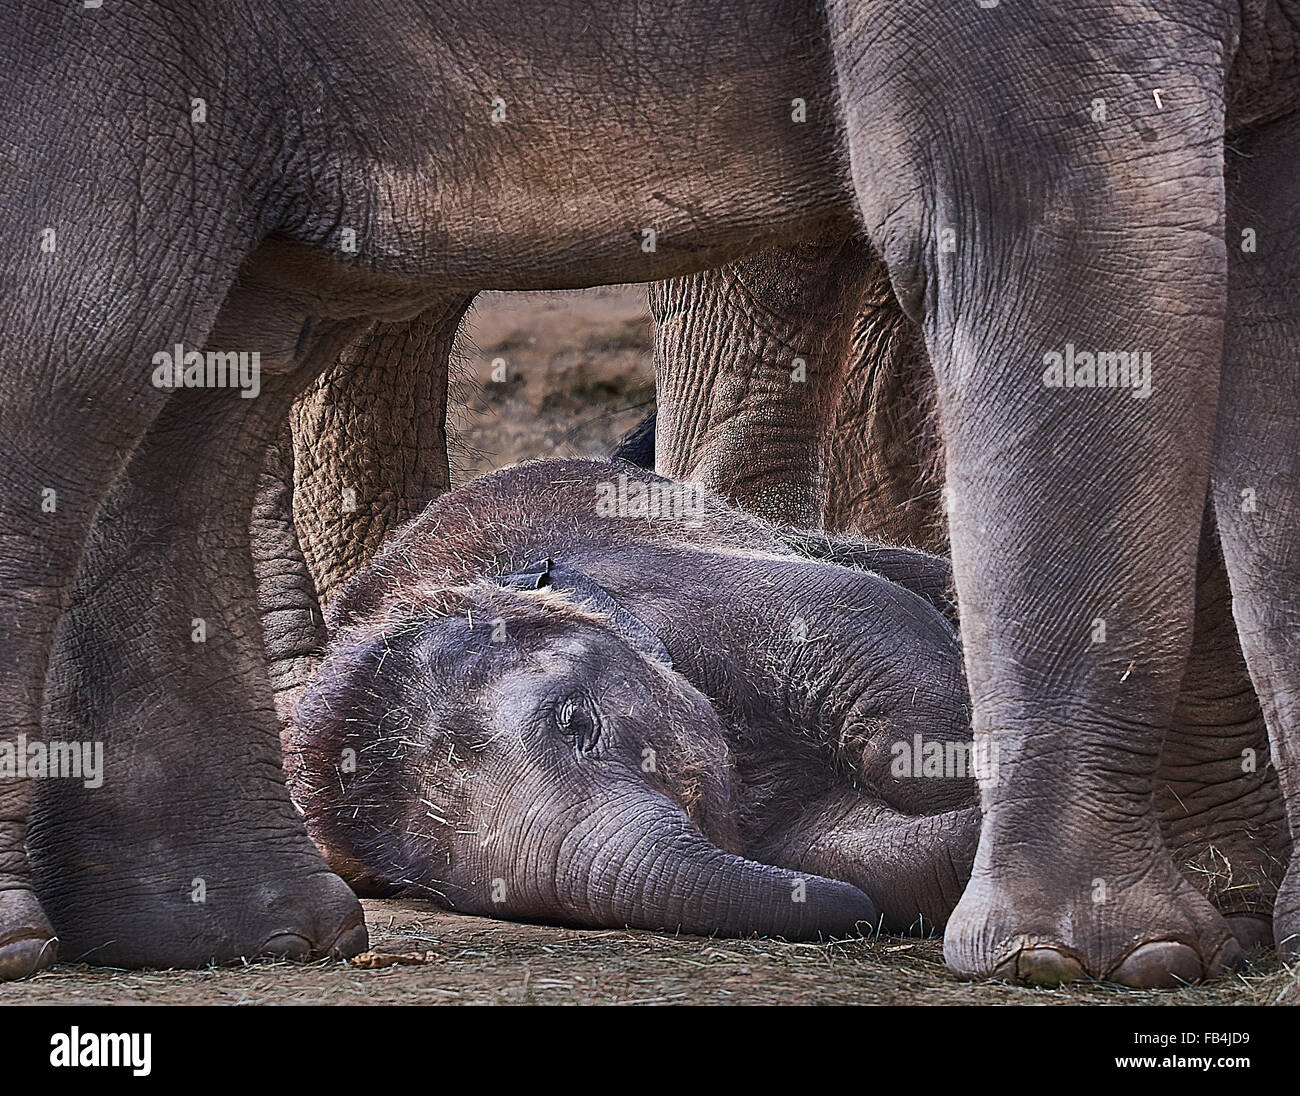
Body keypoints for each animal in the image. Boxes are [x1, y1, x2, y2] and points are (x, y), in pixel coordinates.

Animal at [4, 0, 1299, 989]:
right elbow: (854, 837)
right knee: (100, 344)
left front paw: (1098, 956)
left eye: (581, 725)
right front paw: (1128, 941)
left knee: (188, 370)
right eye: (471, 892)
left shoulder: (704, 590)